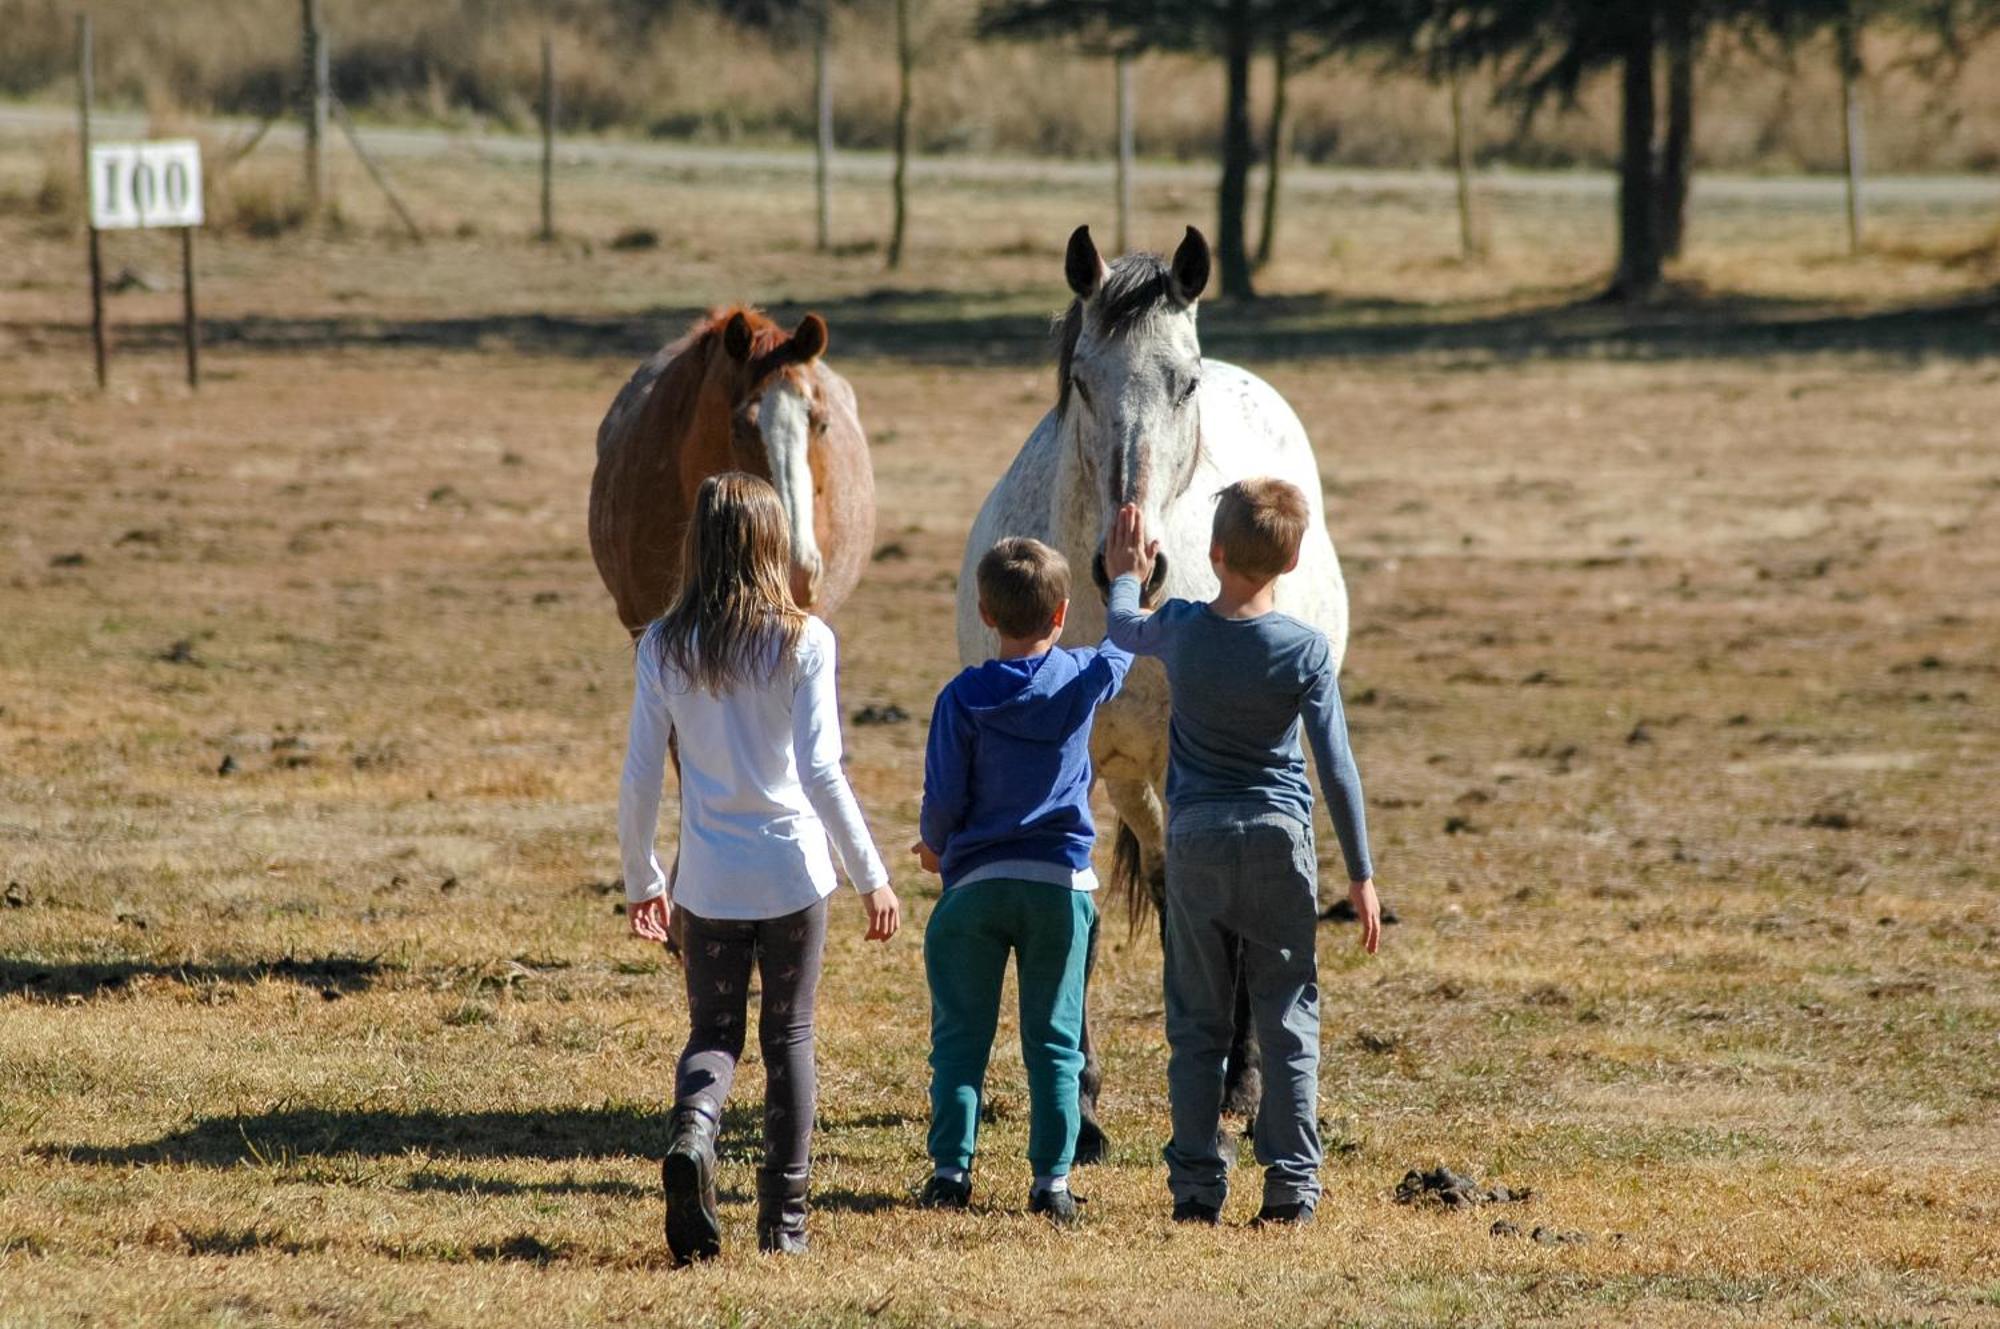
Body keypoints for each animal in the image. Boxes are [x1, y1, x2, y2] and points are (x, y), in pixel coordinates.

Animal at [956, 223, 1360, 1160]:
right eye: (1081, 379)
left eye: (1185, 381)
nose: (1130, 560)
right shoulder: (1075, 764)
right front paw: (1083, 1107)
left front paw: (1226, 1088)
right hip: (1134, 775)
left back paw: (1240, 1082)